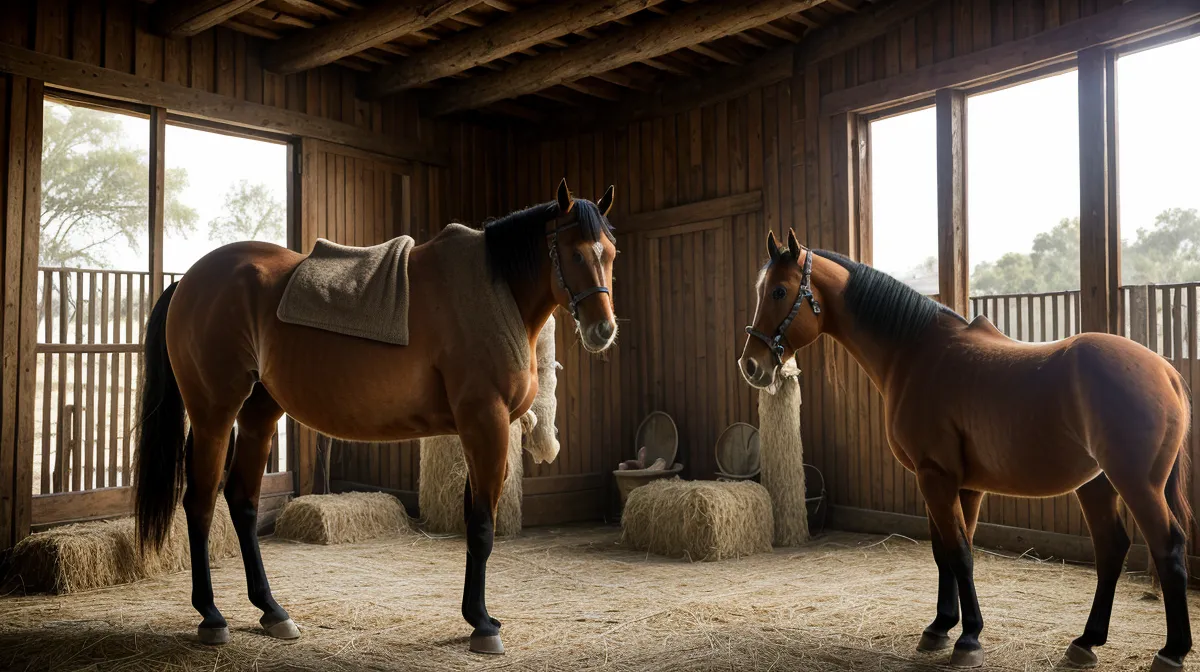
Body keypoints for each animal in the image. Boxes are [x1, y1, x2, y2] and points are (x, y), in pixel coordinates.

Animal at [133, 179, 619, 655]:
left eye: (610, 254)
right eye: (575, 253)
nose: (604, 330)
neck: (493, 291)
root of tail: (190, 281)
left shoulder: (477, 431)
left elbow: (472, 521)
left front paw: (475, 615)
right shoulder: (486, 423)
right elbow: (482, 527)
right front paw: (483, 625)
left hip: (258, 417)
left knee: (243, 502)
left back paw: (272, 611)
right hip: (213, 414)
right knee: (200, 503)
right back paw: (211, 616)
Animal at [739, 229, 1192, 672]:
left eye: (779, 291)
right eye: (760, 290)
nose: (751, 365)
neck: (915, 352)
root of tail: (1166, 370)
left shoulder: (935, 477)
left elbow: (959, 554)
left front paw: (969, 638)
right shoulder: (962, 485)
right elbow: (948, 554)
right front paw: (941, 627)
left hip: (1137, 486)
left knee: (1168, 546)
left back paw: (1172, 651)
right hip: (1096, 485)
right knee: (1111, 549)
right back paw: (1086, 642)